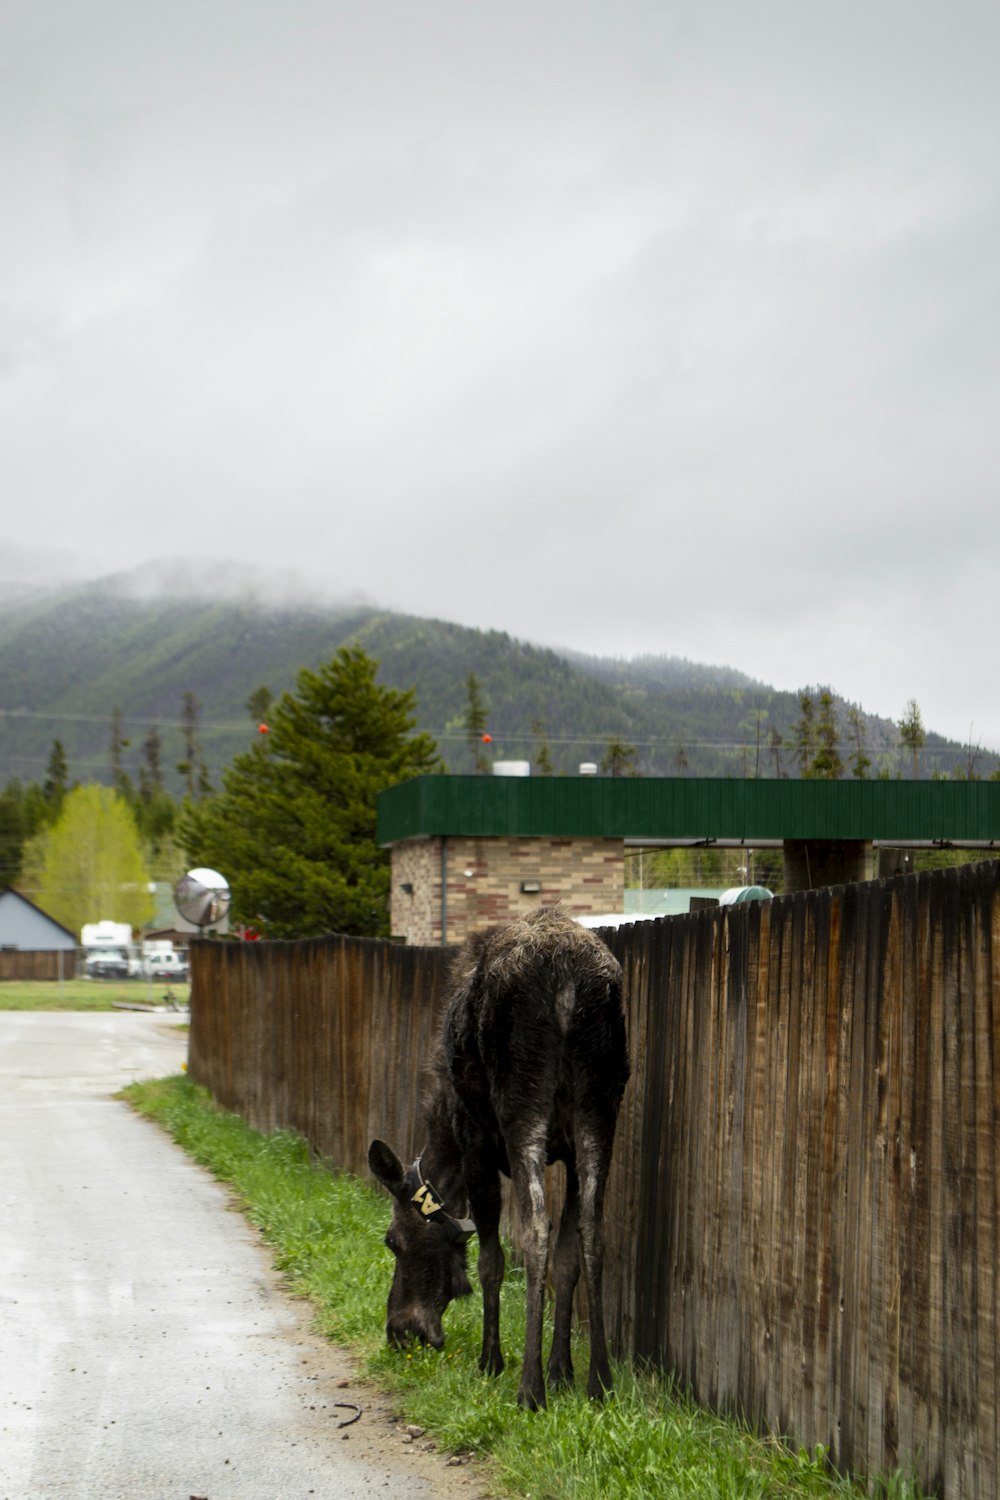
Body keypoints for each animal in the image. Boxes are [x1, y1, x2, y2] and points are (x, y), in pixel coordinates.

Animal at [367, 906, 632, 1410]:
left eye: (392, 1241)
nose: (400, 1331)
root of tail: (567, 981)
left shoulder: (475, 1141)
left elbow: (490, 1259)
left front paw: (492, 1362)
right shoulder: (570, 1150)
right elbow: (568, 1257)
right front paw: (563, 1370)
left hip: (520, 1109)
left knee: (533, 1231)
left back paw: (529, 1388)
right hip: (600, 1111)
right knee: (594, 1233)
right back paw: (600, 1381)